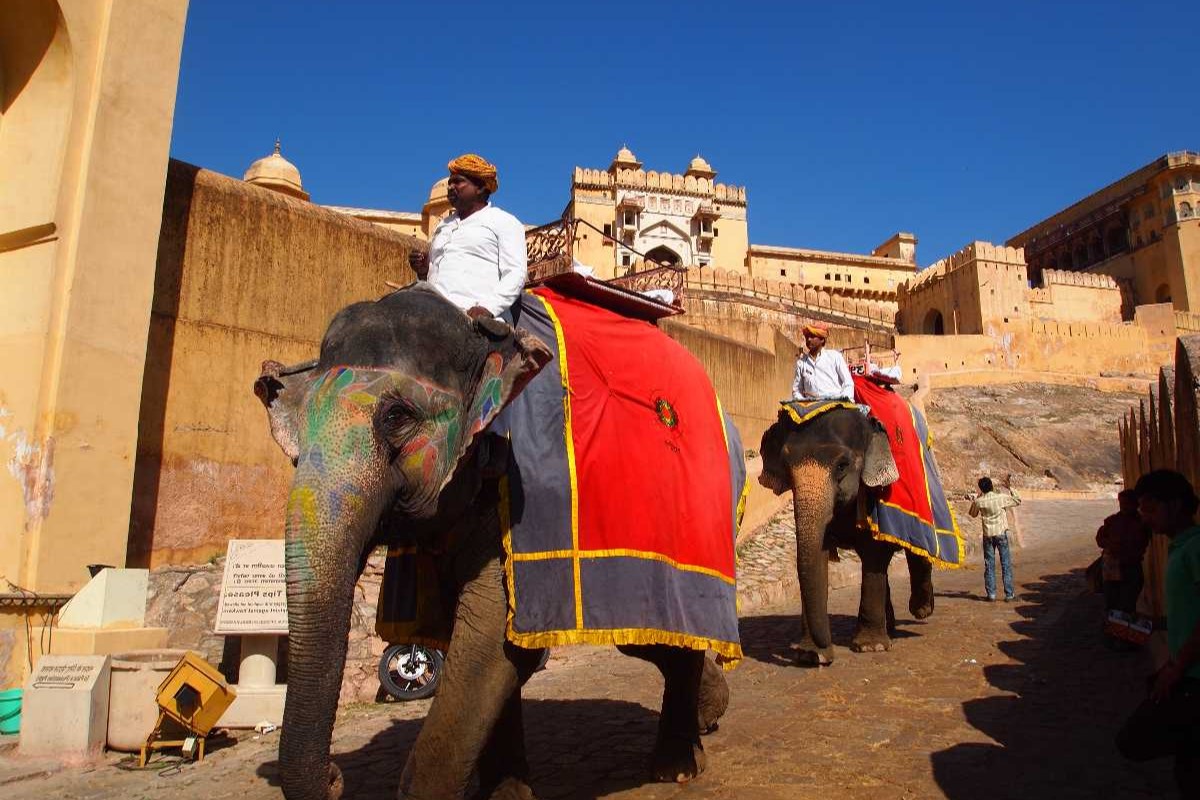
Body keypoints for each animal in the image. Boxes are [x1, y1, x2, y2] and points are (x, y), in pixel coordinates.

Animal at [254, 284, 732, 800]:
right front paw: (506, 793)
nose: (335, 776)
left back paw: (676, 767)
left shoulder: (524, 494)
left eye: (397, 416)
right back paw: (709, 714)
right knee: (648, 638)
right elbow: (487, 646)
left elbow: (489, 638)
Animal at [757, 405, 935, 666]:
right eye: (787, 465)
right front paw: (811, 655)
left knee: (918, 549)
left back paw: (921, 610)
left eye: (842, 465)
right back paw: (891, 626)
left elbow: (874, 554)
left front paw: (870, 647)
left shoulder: (874, 500)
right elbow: (818, 557)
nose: (826, 654)